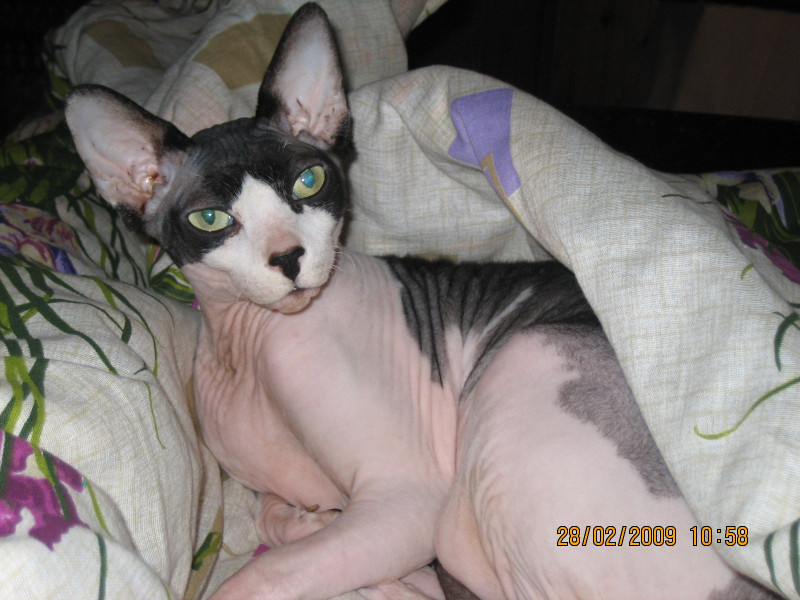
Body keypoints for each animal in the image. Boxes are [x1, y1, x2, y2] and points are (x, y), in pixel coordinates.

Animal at [65, 3, 780, 600]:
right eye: (211, 218)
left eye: (310, 180)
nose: (289, 258)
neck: (246, 342)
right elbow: (277, 514)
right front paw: (306, 519)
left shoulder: (405, 499)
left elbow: (263, 577)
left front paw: (317, 539)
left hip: (518, 367)